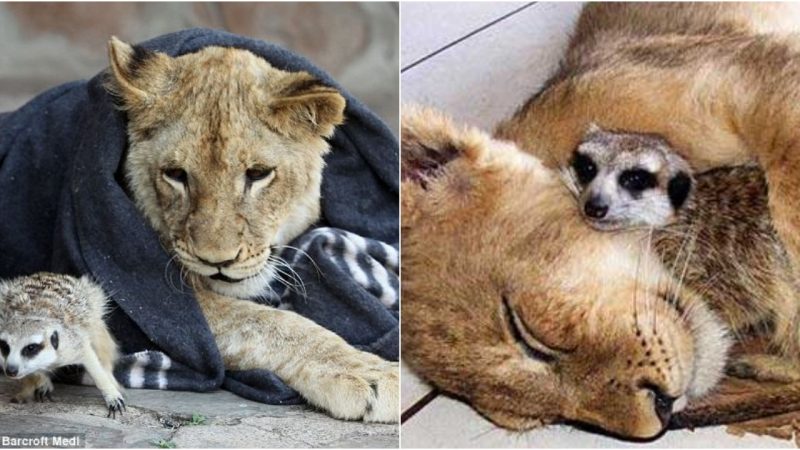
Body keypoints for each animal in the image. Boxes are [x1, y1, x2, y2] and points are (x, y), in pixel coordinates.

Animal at [104, 37, 398, 422]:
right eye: (176, 174)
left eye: (258, 174)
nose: (217, 261)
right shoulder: (159, 304)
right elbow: (265, 323)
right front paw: (371, 373)